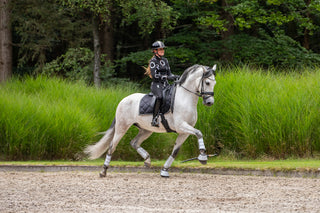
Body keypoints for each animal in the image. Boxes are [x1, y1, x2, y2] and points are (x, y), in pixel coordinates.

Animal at [84, 64, 216, 177]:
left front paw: (164, 171)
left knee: (134, 142)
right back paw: (103, 171)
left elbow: (175, 151)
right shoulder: (181, 126)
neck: (185, 98)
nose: (210, 102)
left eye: (214, 83)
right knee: (112, 146)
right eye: (207, 82)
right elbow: (199, 133)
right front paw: (203, 157)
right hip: (122, 127)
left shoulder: (184, 132)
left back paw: (147, 160)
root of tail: (123, 100)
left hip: (146, 130)